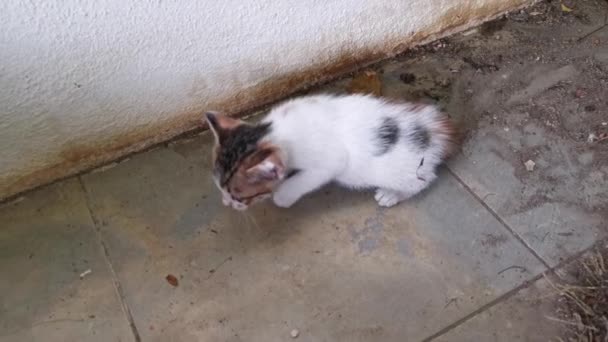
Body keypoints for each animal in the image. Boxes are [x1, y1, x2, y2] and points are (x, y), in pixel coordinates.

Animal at [204, 94, 456, 211]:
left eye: (239, 197)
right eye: (220, 190)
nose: (227, 203)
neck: (276, 131)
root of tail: (438, 130)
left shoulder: (331, 160)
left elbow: (306, 179)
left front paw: (282, 197)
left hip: (404, 169)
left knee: (424, 180)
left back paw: (391, 194)